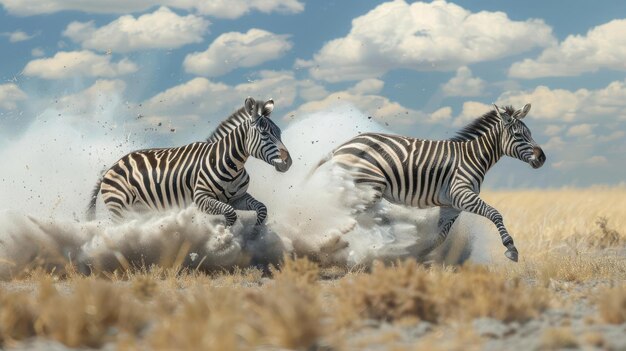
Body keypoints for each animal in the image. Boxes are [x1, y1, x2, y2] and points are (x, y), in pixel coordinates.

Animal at [86, 97, 292, 227]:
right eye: (264, 134)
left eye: (279, 132)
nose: (288, 162)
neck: (230, 162)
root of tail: (110, 168)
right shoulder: (200, 198)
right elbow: (230, 214)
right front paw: (225, 235)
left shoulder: (237, 197)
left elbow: (262, 209)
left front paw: (256, 233)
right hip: (119, 207)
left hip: (139, 208)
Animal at [310, 103, 544, 262]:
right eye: (518, 135)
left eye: (530, 133)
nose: (542, 158)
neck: (472, 157)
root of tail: (340, 148)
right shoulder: (462, 194)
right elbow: (495, 213)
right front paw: (511, 248)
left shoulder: (451, 205)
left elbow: (438, 237)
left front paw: (416, 256)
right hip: (367, 188)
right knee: (342, 214)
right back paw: (326, 243)